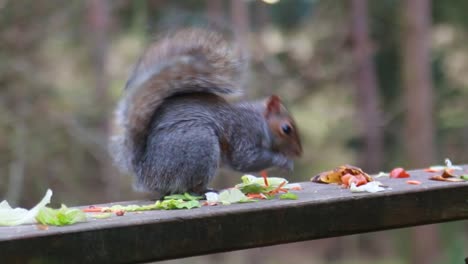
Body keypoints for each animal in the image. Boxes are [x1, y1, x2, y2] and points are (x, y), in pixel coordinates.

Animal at [109, 28, 302, 196]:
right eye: (286, 129)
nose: (299, 153)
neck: (261, 121)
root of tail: (146, 172)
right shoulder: (244, 133)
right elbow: (246, 159)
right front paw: (284, 161)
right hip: (200, 145)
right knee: (188, 186)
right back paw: (204, 191)